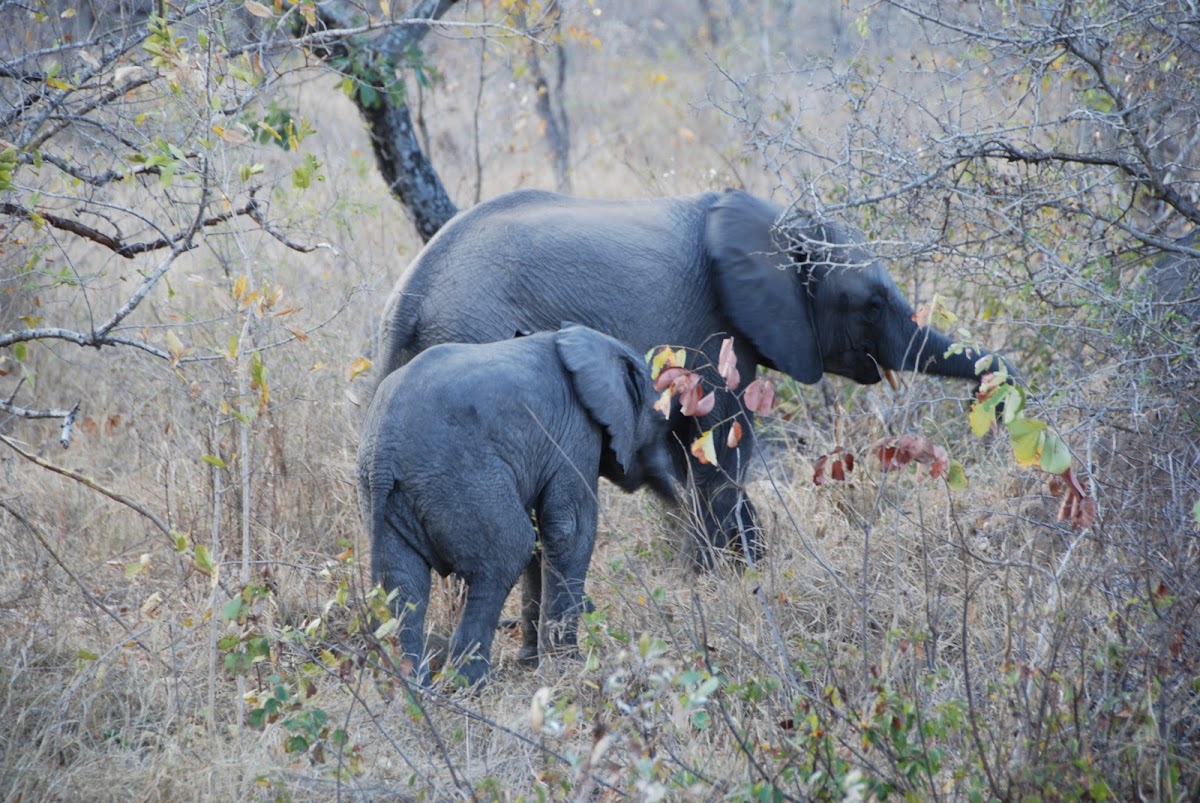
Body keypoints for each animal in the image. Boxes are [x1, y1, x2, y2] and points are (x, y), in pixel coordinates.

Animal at [355, 321, 676, 681]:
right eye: (662, 422)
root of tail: (382, 453)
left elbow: (542, 538)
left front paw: (533, 662)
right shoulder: (575, 432)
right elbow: (568, 530)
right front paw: (568, 665)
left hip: (388, 497)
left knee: (405, 584)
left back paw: (416, 684)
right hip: (461, 480)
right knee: (505, 556)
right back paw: (468, 682)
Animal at [374, 187, 1012, 566]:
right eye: (871, 305)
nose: (994, 401)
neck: (775, 225)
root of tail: (409, 299)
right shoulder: (716, 330)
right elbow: (722, 442)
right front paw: (738, 568)